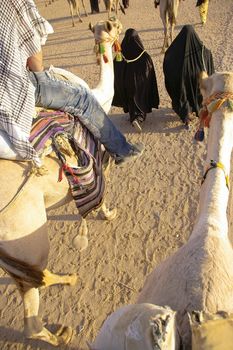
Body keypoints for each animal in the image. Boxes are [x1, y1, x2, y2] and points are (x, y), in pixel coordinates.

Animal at [0, 17, 123, 348]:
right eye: (115, 25)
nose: (120, 25)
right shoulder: (97, 159)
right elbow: (102, 192)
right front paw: (109, 214)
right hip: (28, 238)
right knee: (33, 304)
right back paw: (64, 329)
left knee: (34, 281)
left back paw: (68, 284)